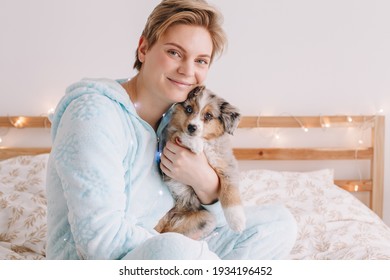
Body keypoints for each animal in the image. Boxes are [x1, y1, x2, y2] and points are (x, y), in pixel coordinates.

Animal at [155, 86, 247, 240]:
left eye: (208, 116)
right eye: (189, 109)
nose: (192, 127)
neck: (206, 142)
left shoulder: (227, 165)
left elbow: (230, 193)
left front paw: (237, 222)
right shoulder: (170, 140)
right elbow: (179, 134)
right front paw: (195, 144)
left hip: (207, 219)